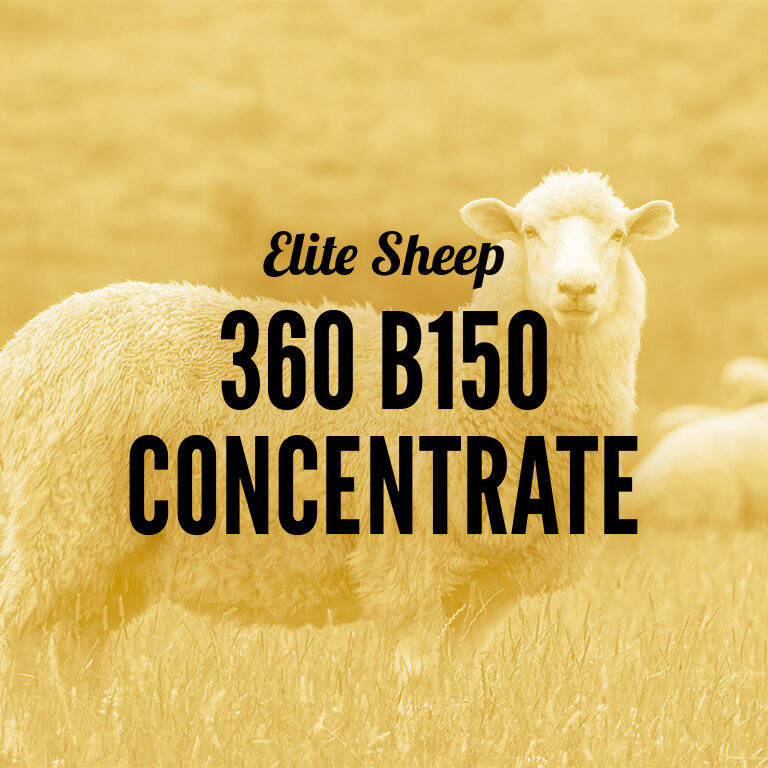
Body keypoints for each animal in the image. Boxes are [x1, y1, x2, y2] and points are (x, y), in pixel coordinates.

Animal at [0, 170, 677, 680]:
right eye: (528, 232)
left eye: (619, 235)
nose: (577, 289)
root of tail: (28, 342)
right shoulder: (409, 566)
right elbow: (415, 680)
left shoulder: (487, 589)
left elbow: (454, 684)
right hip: (57, 519)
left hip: (115, 558)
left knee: (76, 654)